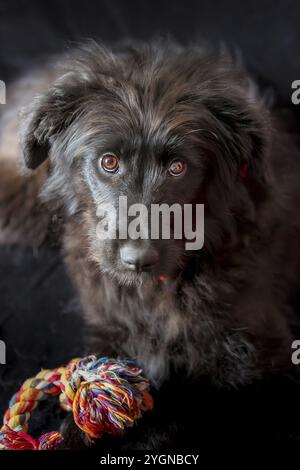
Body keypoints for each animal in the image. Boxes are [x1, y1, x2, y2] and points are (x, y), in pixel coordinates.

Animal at [0, 40, 300, 448]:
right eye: (108, 162)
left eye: (178, 167)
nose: (138, 259)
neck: (156, 292)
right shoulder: (110, 333)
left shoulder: (263, 360)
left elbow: (190, 405)